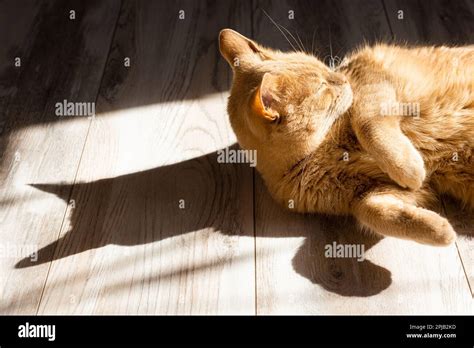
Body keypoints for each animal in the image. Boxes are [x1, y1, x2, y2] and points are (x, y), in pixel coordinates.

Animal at [219, 28, 474, 246]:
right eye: (322, 86)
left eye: (323, 65)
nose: (342, 77)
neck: (319, 150)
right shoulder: (368, 192)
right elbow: (373, 212)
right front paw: (441, 230)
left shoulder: (373, 80)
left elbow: (367, 124)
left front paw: (408, 169)